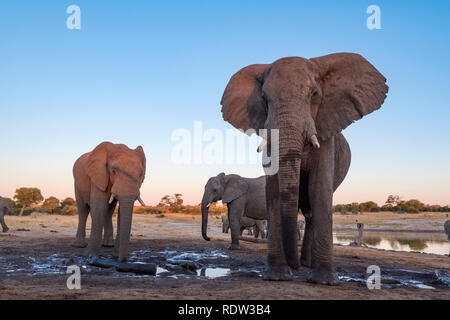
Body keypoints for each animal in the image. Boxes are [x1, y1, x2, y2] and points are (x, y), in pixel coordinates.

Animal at [221, 53, 386, 284]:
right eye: (264, 98)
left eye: (314, 95)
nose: (295, 266)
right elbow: (273, 191)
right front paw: (277, 277)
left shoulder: (326, 137)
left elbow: (320, 190)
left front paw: (324, 281)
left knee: (312, 214)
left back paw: (308, 265)